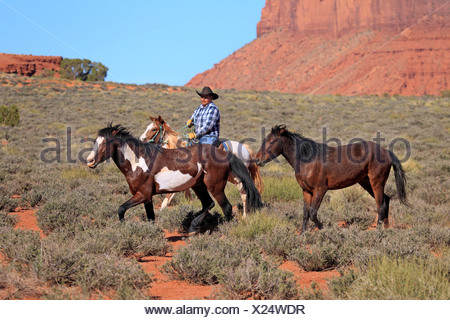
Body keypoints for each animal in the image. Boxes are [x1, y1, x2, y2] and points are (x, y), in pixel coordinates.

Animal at [87, 123, 264, 232]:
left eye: (105, 142)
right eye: (96, 141)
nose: (90, 161)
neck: (138, 162)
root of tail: (225, 153)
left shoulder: (142, 194)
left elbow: (121, 209)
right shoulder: (147, 198)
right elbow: (151, 217)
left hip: (216, 186)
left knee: (227, 206)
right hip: (199, 185)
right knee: (209, 203)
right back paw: (193, 227)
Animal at [256, 124, 408, 232]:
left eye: (272, 141)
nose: (257, 160)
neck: (308, 159)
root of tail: (387, 152)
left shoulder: (320, 189)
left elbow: (313, 213)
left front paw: (325, 229)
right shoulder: (306, 191)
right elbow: (305, 213)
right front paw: (303, 234)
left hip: (376, 182)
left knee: (380, 205)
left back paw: (378, 230)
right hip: (365, 182)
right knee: (386, 200)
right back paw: (386, 228)